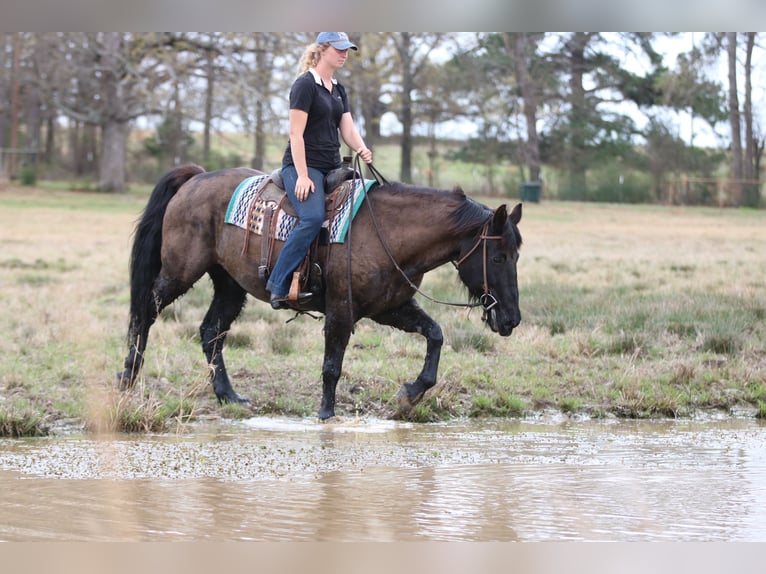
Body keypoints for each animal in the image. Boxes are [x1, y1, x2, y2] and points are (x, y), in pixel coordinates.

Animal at [117, 164, 523, 420]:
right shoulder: (341, 311)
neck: (387, 231)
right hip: (180, 272)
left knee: (211, 331)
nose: (511, 319)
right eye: (498, 256)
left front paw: (412, 393)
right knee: (145, 311)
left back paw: (227, 395)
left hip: (230, 284)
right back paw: (128, 377)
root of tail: (197, 178)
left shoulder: (389, 308)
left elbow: (435, 334)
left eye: (516, 254)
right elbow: (332, 366)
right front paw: (327, 414)